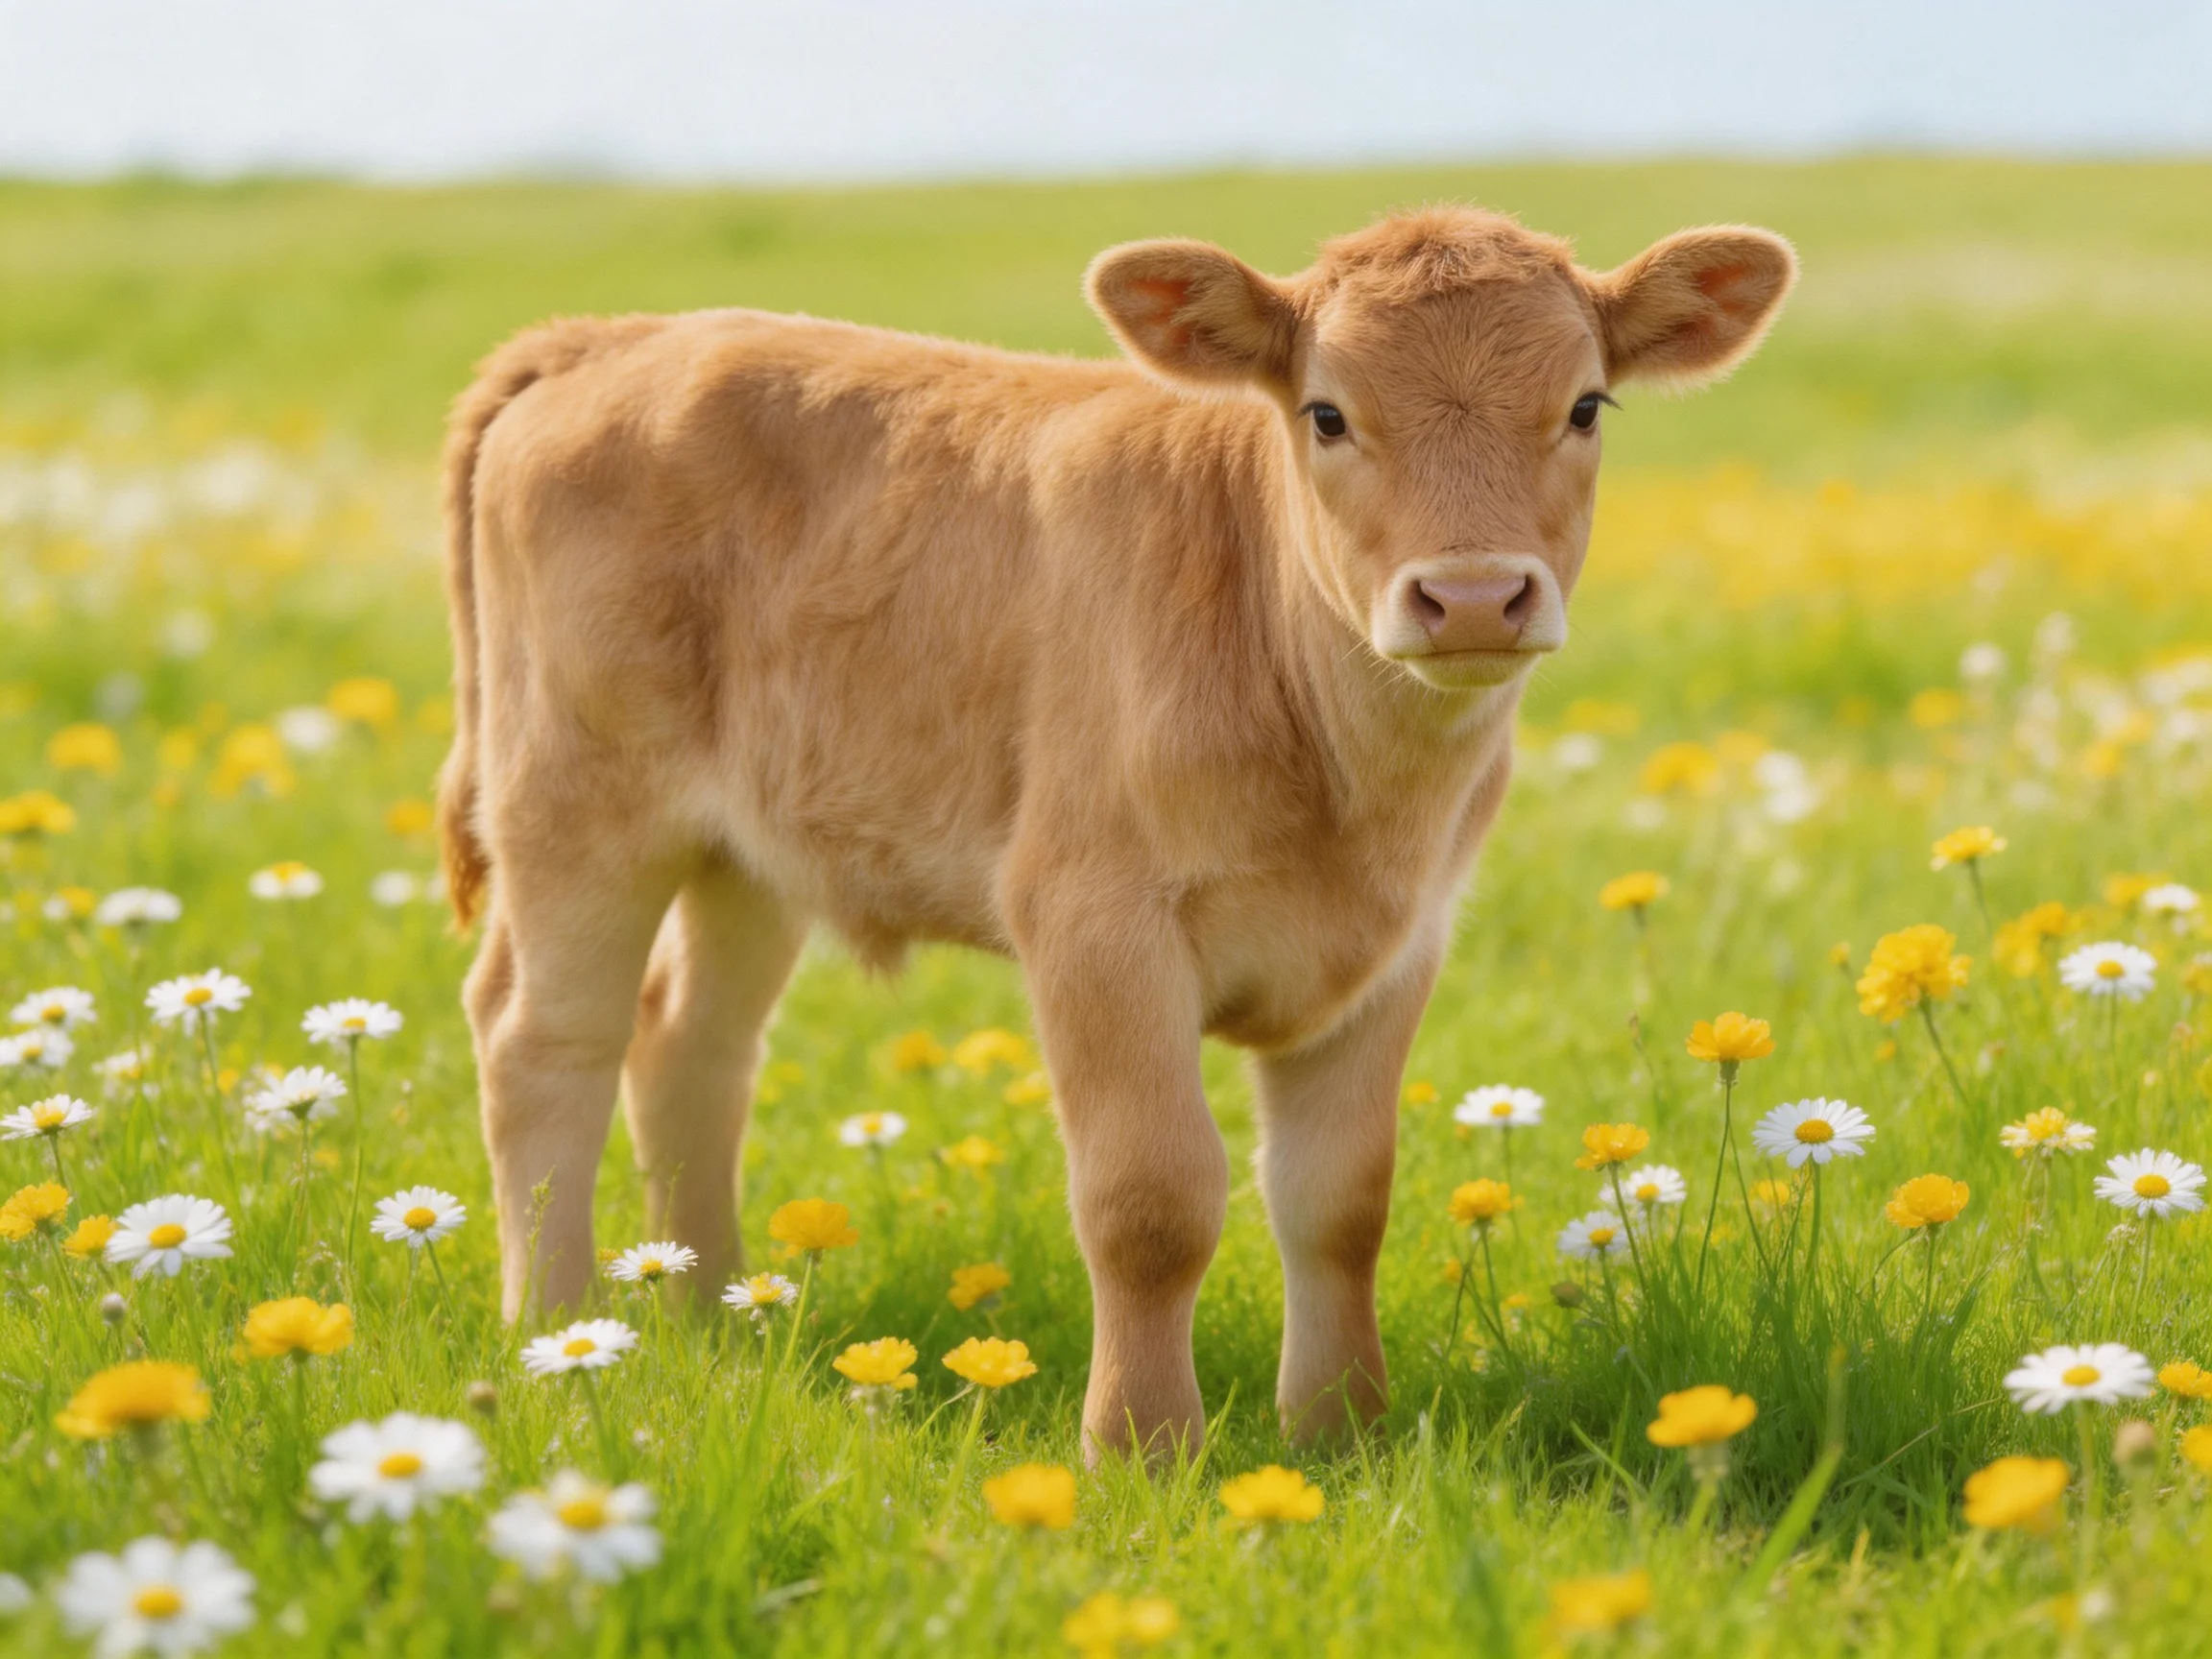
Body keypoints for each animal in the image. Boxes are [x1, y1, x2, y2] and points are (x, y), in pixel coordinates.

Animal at [438, 205, 1794, 1456]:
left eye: (1586, 406)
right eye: (1327, 414)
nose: (1470, 596)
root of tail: (616, 336)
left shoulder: (1400, 944)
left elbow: (1342, 1199)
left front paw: (1338, 1434)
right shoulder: (1095, 918)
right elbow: (1152, 1202)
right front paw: (1143, 1447)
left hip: (748, 850)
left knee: (692, 1047)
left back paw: (714, 1314)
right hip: (574, 803)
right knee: (542, 1039)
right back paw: (557, 1330)